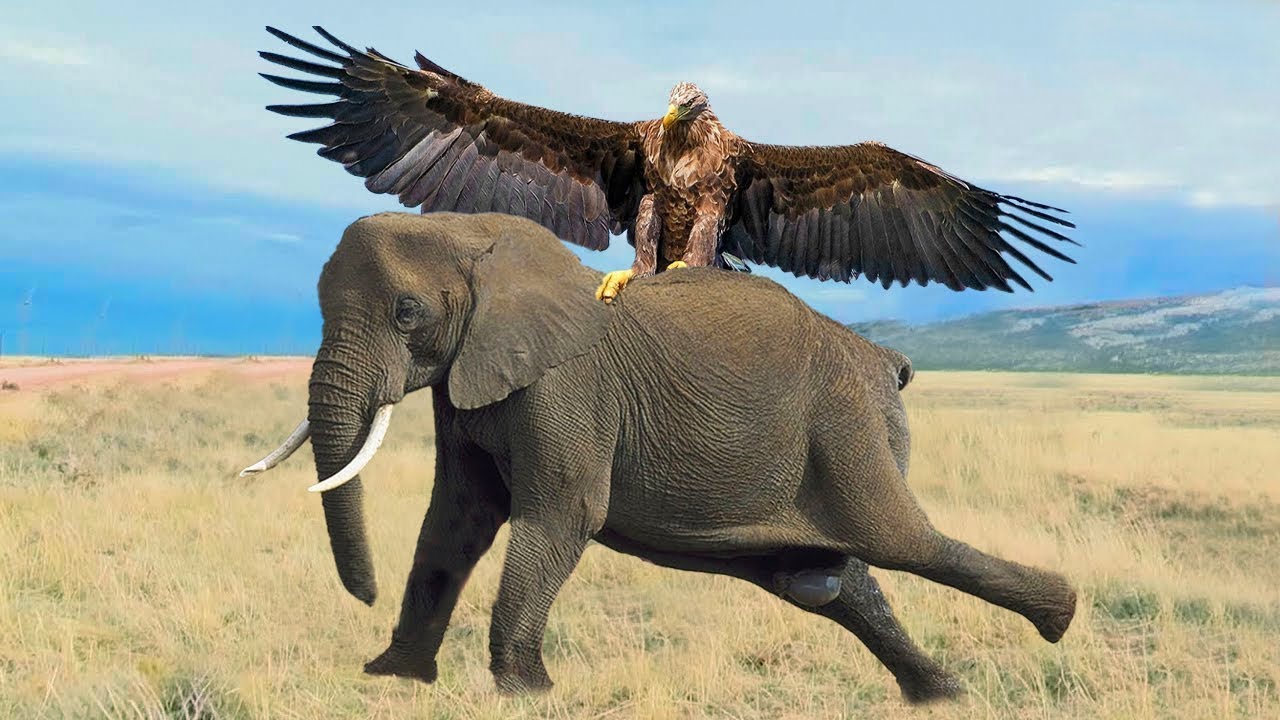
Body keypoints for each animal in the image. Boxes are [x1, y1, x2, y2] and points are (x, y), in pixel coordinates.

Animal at [242, 211, 1076, 702]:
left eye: (406, 312)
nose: (364, 597)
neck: (483, 239)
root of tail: (888, 361)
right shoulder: (468, 382)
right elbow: (458, 519)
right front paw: (398, 680)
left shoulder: (567, 386)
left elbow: (561, 514)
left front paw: (526, 693)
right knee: (835, 582)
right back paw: (941, 694)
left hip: (851, 428)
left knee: (900, 543)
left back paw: (1059, 617)